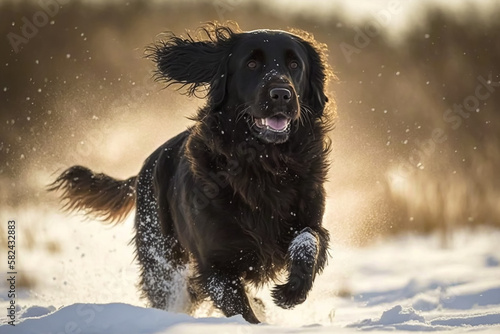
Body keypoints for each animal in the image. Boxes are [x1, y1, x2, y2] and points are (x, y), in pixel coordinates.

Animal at [50, 22, 334, 324]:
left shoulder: (308, 218)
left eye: (294, 64)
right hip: (162, 259)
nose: (281, 93)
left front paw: (292, 290)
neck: (263, 164)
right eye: (252, 63)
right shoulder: (215, 264)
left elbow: (310, 240)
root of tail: (143, 169)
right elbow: (241, 311)